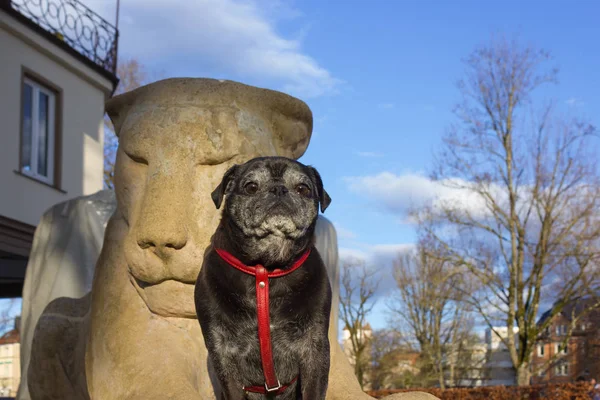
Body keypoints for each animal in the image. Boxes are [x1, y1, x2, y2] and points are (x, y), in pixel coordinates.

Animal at [196, 156, 332, 400]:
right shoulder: (223, 353)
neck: (267, 270)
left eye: (303, 188)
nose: (278, 189)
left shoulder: (315, 350)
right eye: (251, 187)